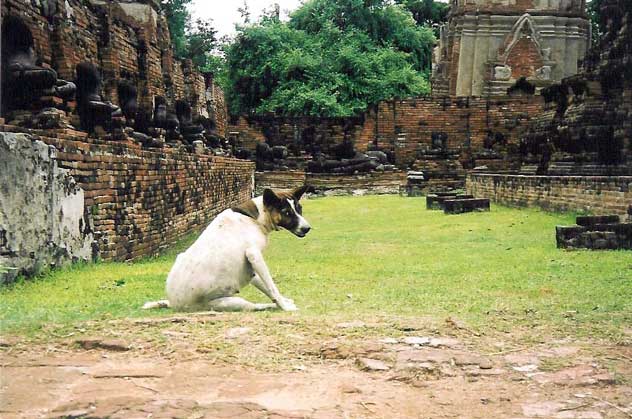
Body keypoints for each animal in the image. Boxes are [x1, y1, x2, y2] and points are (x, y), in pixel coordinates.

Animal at [143, 186, 312, 312]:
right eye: (287, 212)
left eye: (300, 209)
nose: (307, 228)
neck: (256, 218)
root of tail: (174, 304)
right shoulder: (254, 256)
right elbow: (271, 287)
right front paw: (285, 307)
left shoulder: (251, 268)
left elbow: (266, 287)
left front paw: (283, 301)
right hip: (230, 303)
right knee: (253, 307)